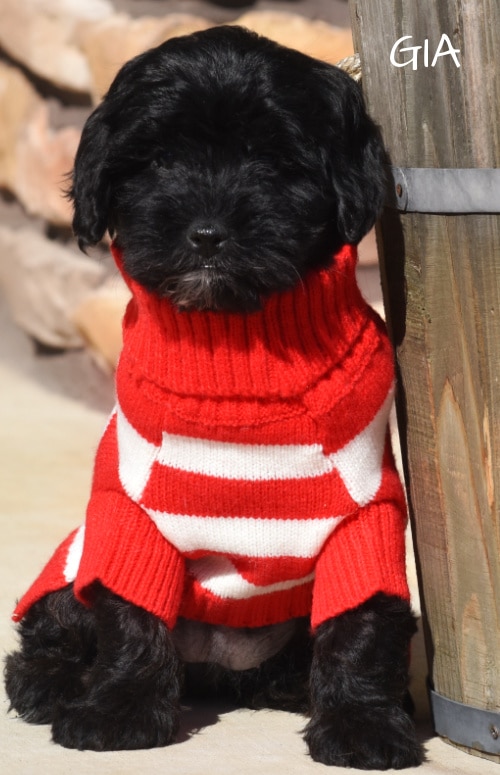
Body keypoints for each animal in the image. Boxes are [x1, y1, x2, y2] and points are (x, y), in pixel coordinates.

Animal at [5, 25, 424, 768]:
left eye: (271, 162)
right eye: (159, 160)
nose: (205, 233)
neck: (238, 356)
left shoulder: (367, 517)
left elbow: (360, 621)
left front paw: (363, 722)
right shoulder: (128, 515)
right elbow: (130, 614)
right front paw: (116, 711)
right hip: (74, 558)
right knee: (51, 624)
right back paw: (52, 684)